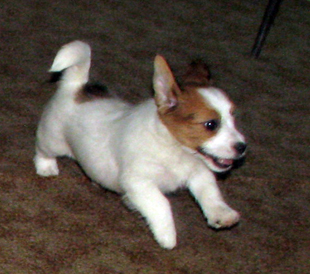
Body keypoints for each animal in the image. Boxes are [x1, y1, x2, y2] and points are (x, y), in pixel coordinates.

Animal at [34, 40, 247, 248]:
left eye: (233, 117)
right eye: (211, 124)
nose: (242, 147)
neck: (176, 149)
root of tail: (75, 87)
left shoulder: (199, 172)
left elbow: (210, 192)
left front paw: (222, 214)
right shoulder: (139, 181)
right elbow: (161, 203)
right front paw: (167, 235)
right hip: (52, 140)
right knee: (41, 149)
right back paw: (46, 167)